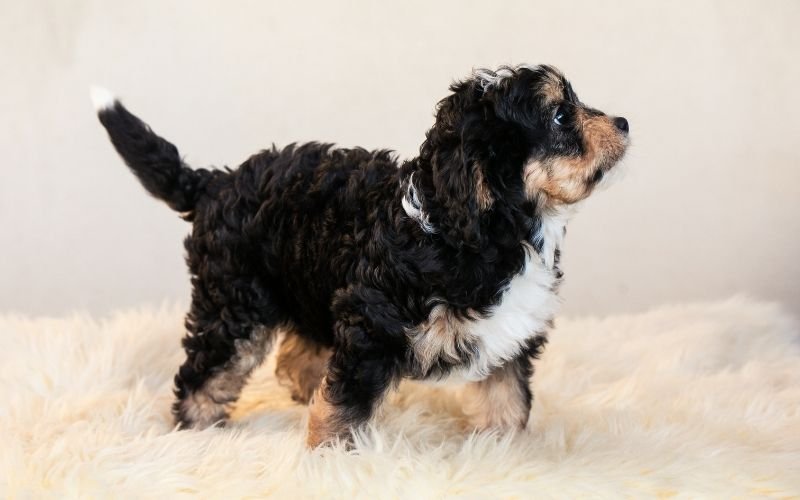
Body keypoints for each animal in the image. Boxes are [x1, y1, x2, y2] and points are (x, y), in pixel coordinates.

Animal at [94, 65, 628, 446]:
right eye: (561, 116)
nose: (623, 122)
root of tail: (216, 183)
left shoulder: (511, 331)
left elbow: (507, 395)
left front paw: (502, 449)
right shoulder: (374, 322)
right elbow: (345, 403)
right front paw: (331, 458)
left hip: (308, 286)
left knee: (296, 352)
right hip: (234, 301)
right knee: (207, 368)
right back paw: (198, 429)